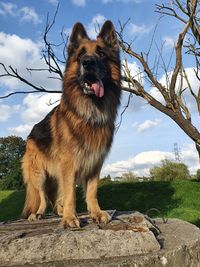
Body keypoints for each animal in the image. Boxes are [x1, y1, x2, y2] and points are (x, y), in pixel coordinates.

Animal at [22, 21, 121, 228]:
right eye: (81, 55)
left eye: (101, 53)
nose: (87, 63)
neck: (89, 112)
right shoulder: (70, 165)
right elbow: (71, 194)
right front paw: (70, 217)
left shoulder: (94, 162)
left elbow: (91, 191)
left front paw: (96, 213)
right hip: (39, 175)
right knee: (43, 197)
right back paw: (39, 213)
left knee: (55, 197)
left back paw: (59, 211)